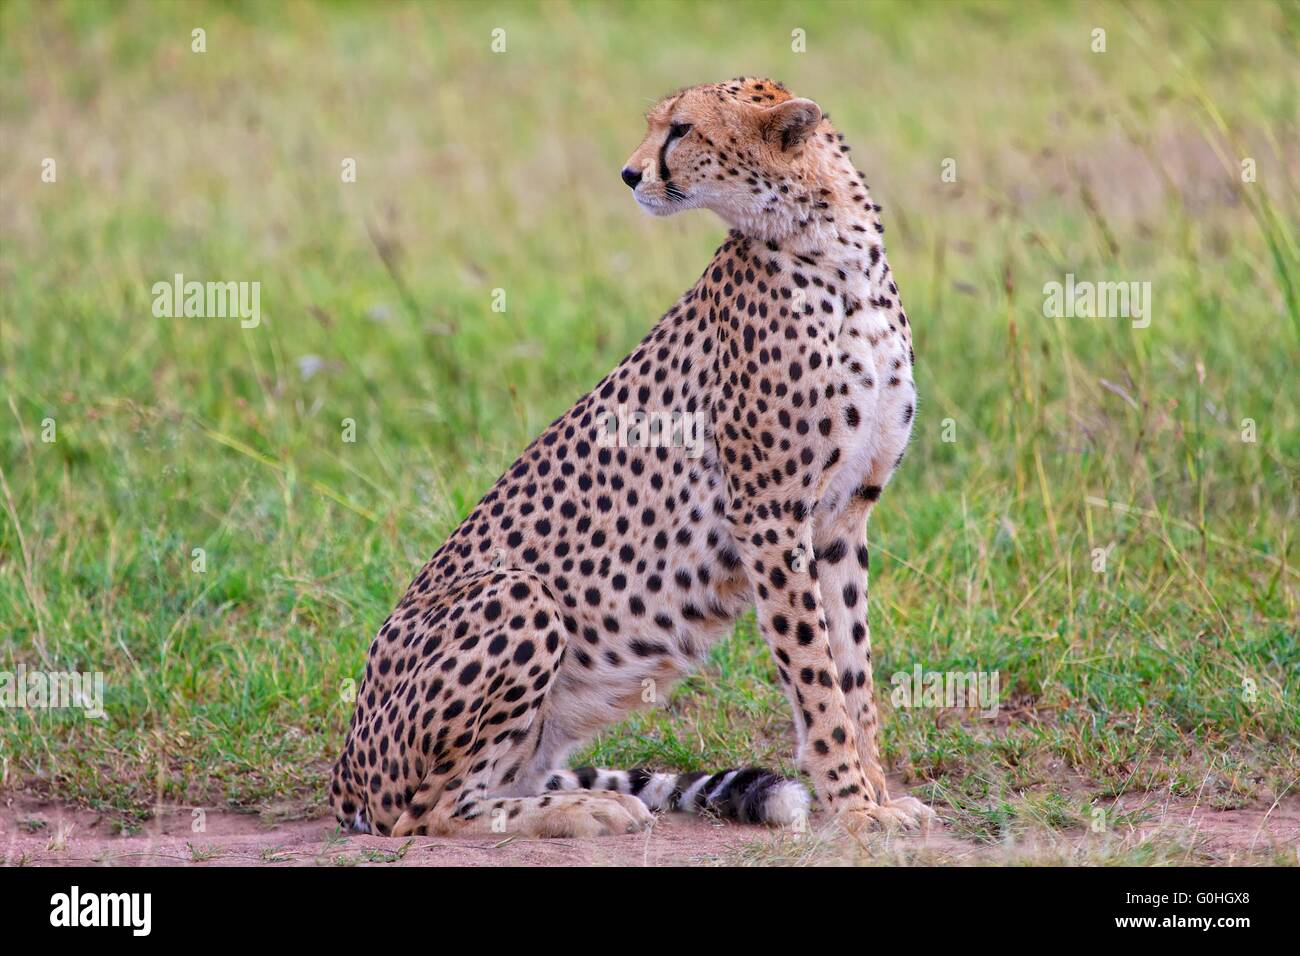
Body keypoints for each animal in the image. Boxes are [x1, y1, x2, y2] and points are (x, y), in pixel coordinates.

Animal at [325, 76, 935, 837]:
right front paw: (853, 806)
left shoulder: (843, 516)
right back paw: (589, 807)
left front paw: (877, 794)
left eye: (682, 129)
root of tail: (344, 768)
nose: (629, 173)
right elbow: (816, 676)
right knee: (429, 814)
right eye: (657, 125)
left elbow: (853, 670)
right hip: (519, 595)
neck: (834, 249)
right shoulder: (769, 516)